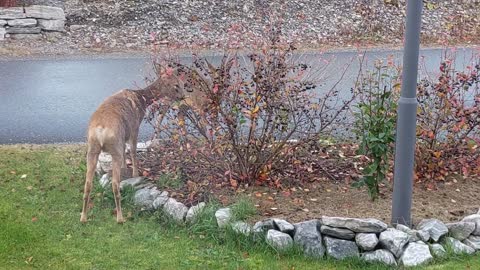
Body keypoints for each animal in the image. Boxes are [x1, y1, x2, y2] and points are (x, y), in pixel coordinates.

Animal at [80, 67, 195, 224]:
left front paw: (125, 168)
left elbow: (125, 151)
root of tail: (101, 130)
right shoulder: (134, 127)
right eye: (176, 85)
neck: (142, 99)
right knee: (114, 184)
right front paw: (135, 173)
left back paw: (83, 217)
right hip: (114, 146)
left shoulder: (124, 136)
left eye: (182, 84)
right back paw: (120, 218)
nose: (183, 96)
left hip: (92, 149)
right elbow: (133, 151)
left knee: (88, 184)